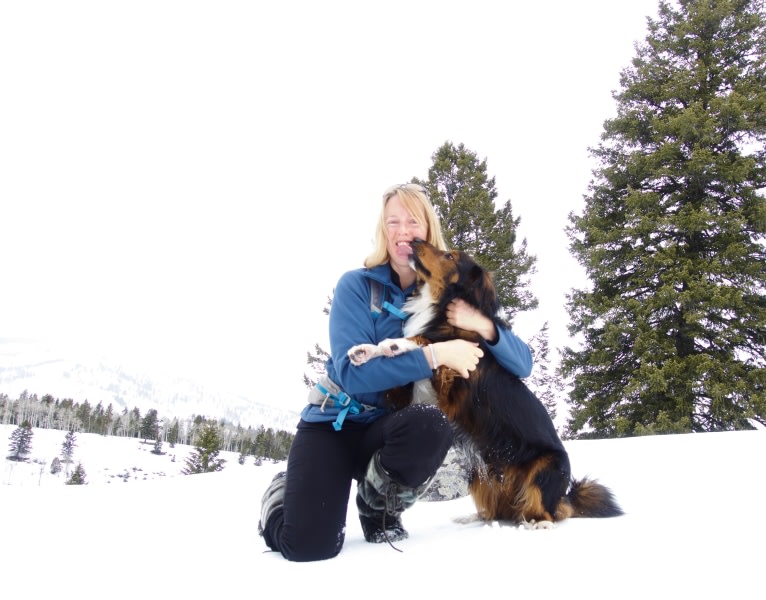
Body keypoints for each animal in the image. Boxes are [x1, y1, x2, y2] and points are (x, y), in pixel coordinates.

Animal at [348, 237, 624, 528]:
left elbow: (427, 342)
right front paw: (365, 350)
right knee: (497, 511)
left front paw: (395, 343)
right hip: (480, 475)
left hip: (546, 470)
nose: (414, 240)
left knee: (549, 511)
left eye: (449, 256)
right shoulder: (419, 395)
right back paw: (473, 517)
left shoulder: (450, 383)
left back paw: (539, 523)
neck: (440, 307)